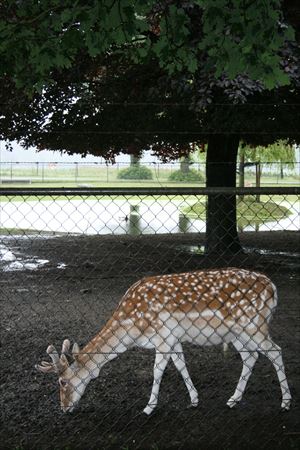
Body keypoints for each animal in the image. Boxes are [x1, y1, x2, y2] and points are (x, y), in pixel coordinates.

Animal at [35, 268, 290, 414]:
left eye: (62, 382)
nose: (64, 408)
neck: (132, 327)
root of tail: (274, 288)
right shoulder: (173, 338)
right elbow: (181, 365)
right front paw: (194, 400)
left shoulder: (163, 336)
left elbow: (157, 371)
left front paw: (148, 407)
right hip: (238, 333)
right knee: (251, 356)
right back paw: (233, 399)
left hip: (253, 324)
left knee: (275, 351)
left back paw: (285, 402)